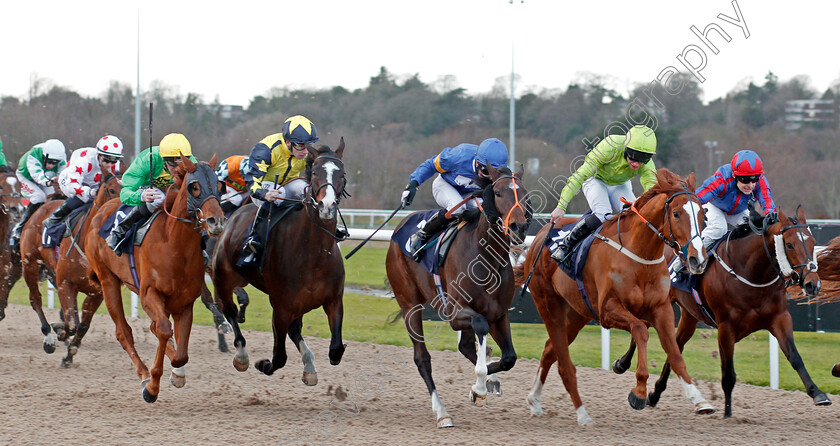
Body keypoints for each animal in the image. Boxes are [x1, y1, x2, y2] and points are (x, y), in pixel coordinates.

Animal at [85, 154, 223, 404]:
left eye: (218, 185)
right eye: (194, 186)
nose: (216, 221)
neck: (174, 246)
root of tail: (100, 212)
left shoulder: (184, 304)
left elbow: (180, 354)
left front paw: (177, 373)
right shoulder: (149, 294)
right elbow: (165, 331)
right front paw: (152, 387)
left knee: (153, 327)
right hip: (107, 280)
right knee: (124, 332)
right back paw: (143, 374)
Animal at [215, 142, 350, 384]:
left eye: (341, 174)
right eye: (315, 172)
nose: (326, 206)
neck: (314, 254)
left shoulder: (333, 300)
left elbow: (335, 350)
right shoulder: (281, 307)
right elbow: (279, 357)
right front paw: (263, 364)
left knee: (295, 330)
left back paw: (309, 364)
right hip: (223, 278)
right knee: (229, 311)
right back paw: (241, 356)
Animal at [384, 163, 528, 428]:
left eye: (524, 195)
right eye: (498, 193)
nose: (519, 227)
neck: (487, 257)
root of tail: (399, 227)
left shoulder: (498, 314)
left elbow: (509, 358)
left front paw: (486, 382)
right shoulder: (456, 313)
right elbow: (479, 327)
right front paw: (479, 387)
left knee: (465, 347)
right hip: (409, 305)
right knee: (422, 358)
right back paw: (442, 413)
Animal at [520, 168, 716, 426]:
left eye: (703, 214)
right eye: (675, 214)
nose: (697, 259)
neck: (639, 253)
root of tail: (540, 236)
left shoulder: (661, 309)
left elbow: (674, 353)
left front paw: (698, 399)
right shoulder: (608, 310)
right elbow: (641, 330)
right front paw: (639, 391)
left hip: (577, 314)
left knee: (549, 350)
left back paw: (534, 400)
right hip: (548, 306)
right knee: (563, 363)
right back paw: (582, 414)